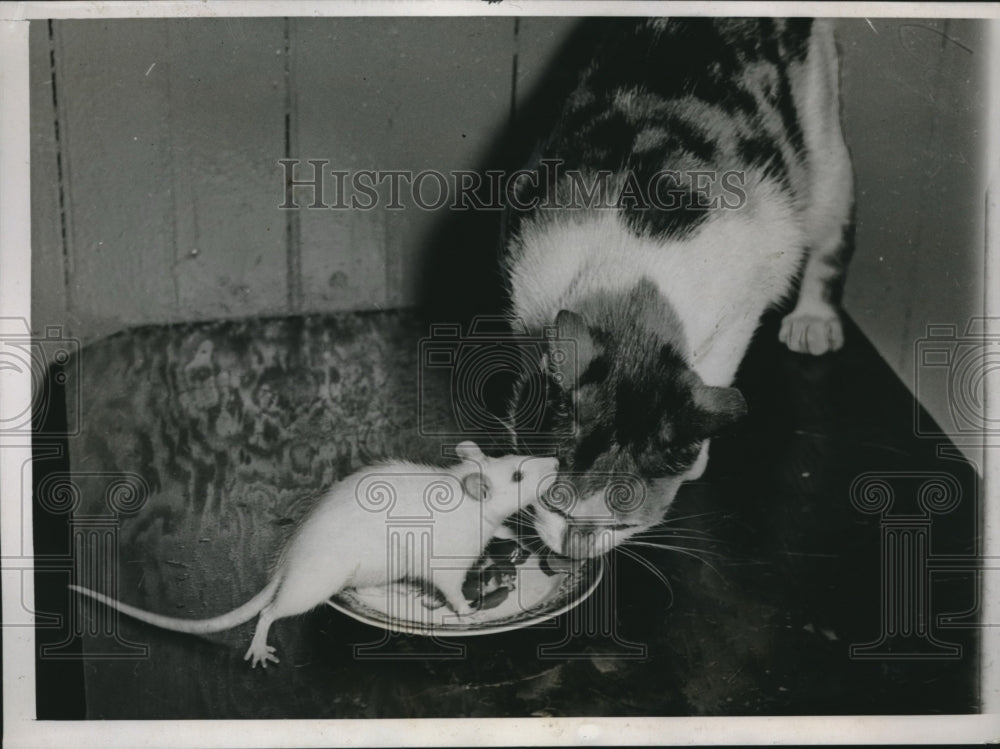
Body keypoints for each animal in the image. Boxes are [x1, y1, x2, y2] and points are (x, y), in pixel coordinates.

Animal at [504, 17, 856, 560]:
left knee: (832, 221)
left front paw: (694, 458)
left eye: (623, 521)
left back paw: (814, 321)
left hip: (820, 128)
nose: (576, 550)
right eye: (554, 503)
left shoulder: (745, 295)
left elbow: (718, 365)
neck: (631, 267)